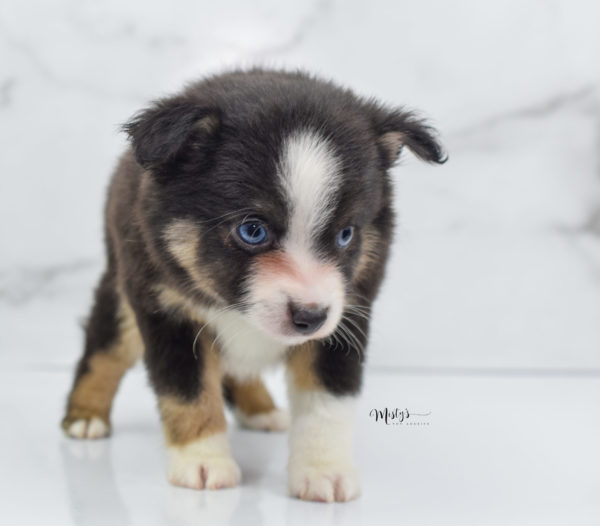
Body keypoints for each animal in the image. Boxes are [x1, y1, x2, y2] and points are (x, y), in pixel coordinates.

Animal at [62, 69, 446, 504]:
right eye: (252, 230)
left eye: (346, 234)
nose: (310, 317)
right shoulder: (167, 311)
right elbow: (189, 393)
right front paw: (203, 463)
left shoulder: (346, 314)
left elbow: (327, 401)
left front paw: (324, 471)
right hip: (121, 292)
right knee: (103, 350)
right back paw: (85, 416)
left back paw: (260, 409)